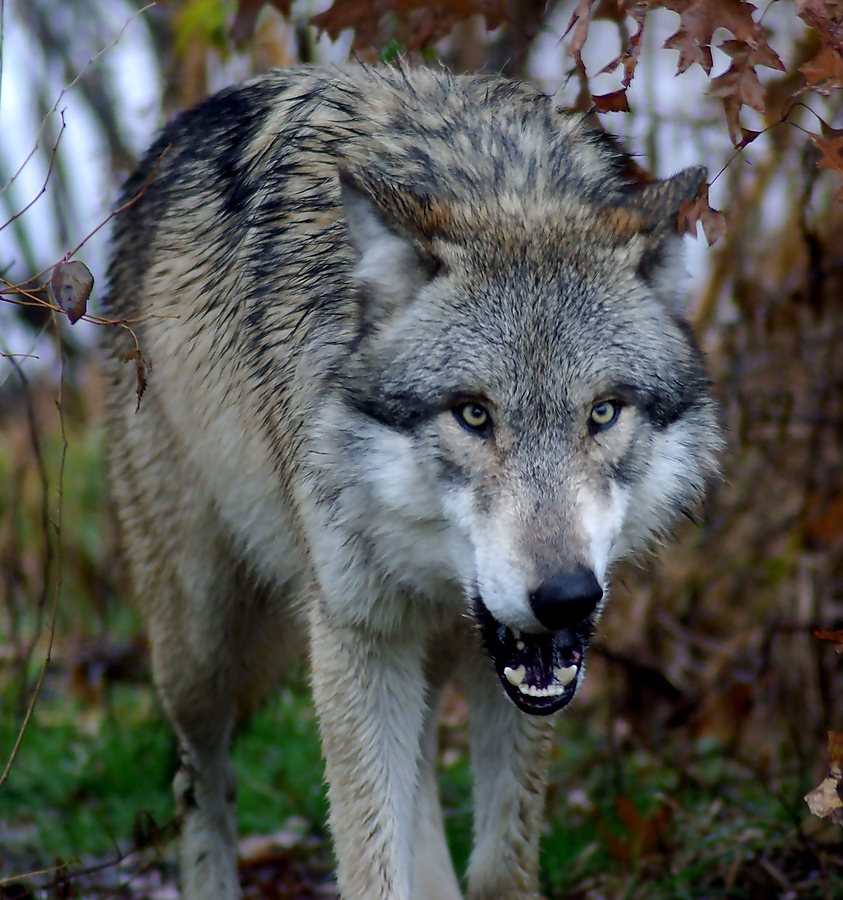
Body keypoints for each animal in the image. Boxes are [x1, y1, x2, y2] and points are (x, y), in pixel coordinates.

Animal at [102, 64, 721, 900]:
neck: (495, 183)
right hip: (198, 642)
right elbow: (370, 865)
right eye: (472, 414)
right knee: (200, 778)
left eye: (601, 412)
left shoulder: (516, 669)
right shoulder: (356, 638)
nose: (564, 596)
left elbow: (498, 866)